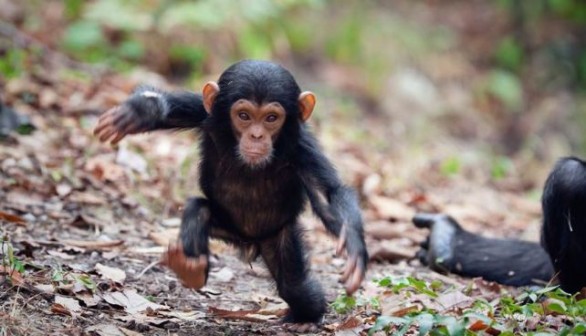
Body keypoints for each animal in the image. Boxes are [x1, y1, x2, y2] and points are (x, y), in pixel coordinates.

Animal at [92, 59, 364, 326]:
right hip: (225, 228)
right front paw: (139, 111)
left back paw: (305, 317)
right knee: (199, 209)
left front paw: (354, 247)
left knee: (295, 287)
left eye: (271, 118)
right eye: (244, 115)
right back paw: (191, 268)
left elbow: (329, 193)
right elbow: (173, 111)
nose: (256, 135)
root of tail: (248, 243)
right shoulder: (207, 114)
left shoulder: (302, 149)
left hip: (278, 236)